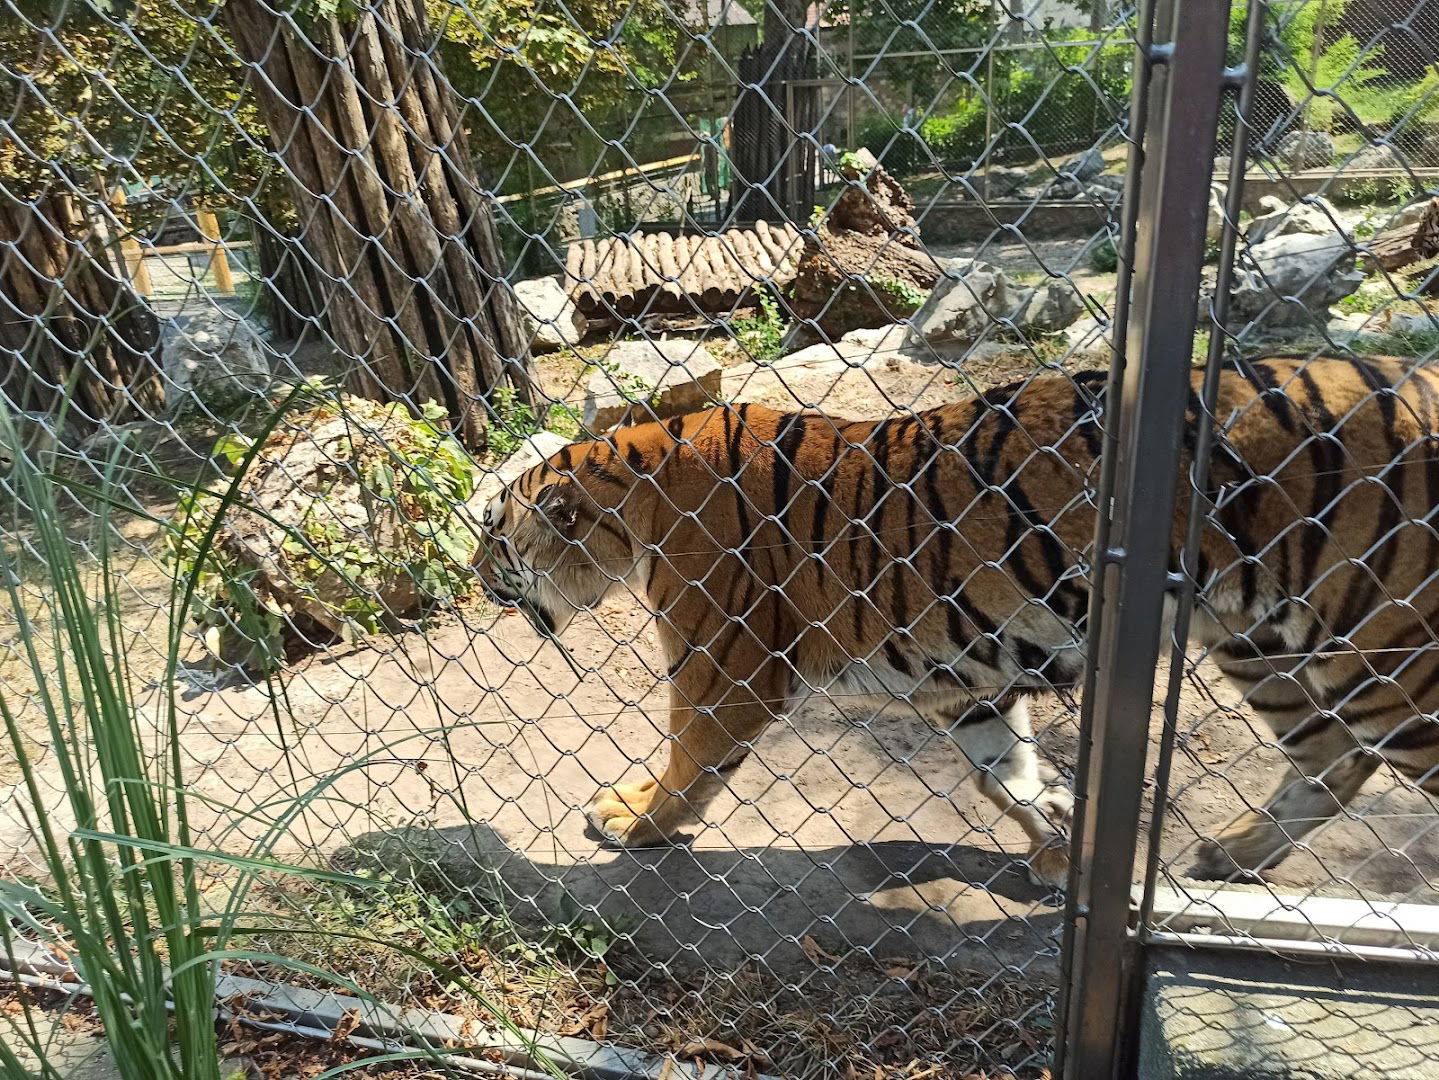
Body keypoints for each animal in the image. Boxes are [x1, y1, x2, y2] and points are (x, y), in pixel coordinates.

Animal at [477, 354, 1439, 889]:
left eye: (493, 528)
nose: (476, 576)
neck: (633, 505)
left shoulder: (724, 668)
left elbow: (686, 758)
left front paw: (634, 819)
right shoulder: (962, 676)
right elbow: (1000, 774)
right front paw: (1055, 849)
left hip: (1391, 657)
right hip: (1261, 641)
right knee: (1331, 758)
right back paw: (1229, 855)